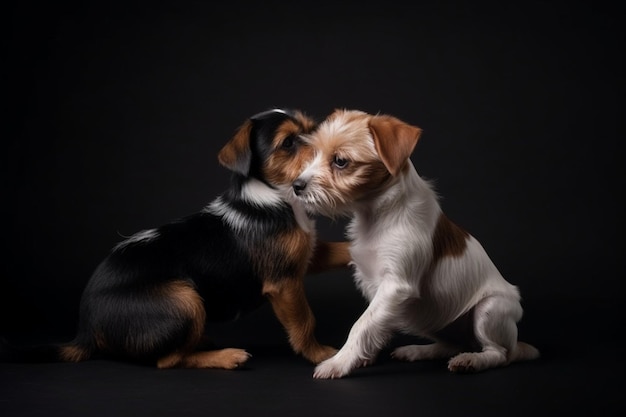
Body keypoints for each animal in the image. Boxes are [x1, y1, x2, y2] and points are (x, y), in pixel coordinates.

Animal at [2, 109, 348, 368]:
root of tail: (85, 330)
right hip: (184, 298)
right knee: (167, 360)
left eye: (311, 128)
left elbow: (343, 250)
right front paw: (319, 354)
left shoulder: (306, 255)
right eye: (288, 143)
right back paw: (225, 357)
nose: (327, 140)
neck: (276, 196)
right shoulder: (284, 281)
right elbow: (304, 321)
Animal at [292, 109, 536, 376]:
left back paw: (472, 360)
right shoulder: (378, 289)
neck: (375, 214)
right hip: (429, 318)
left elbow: (362, 324)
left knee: (499, 354)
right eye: (314, 153)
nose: (296, 185)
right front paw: (362, 357)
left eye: (340, 161)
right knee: (451, 344)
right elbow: (375, 324)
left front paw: (340, 362)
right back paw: (418, 351)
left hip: (489, 309)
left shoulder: (395, 286)